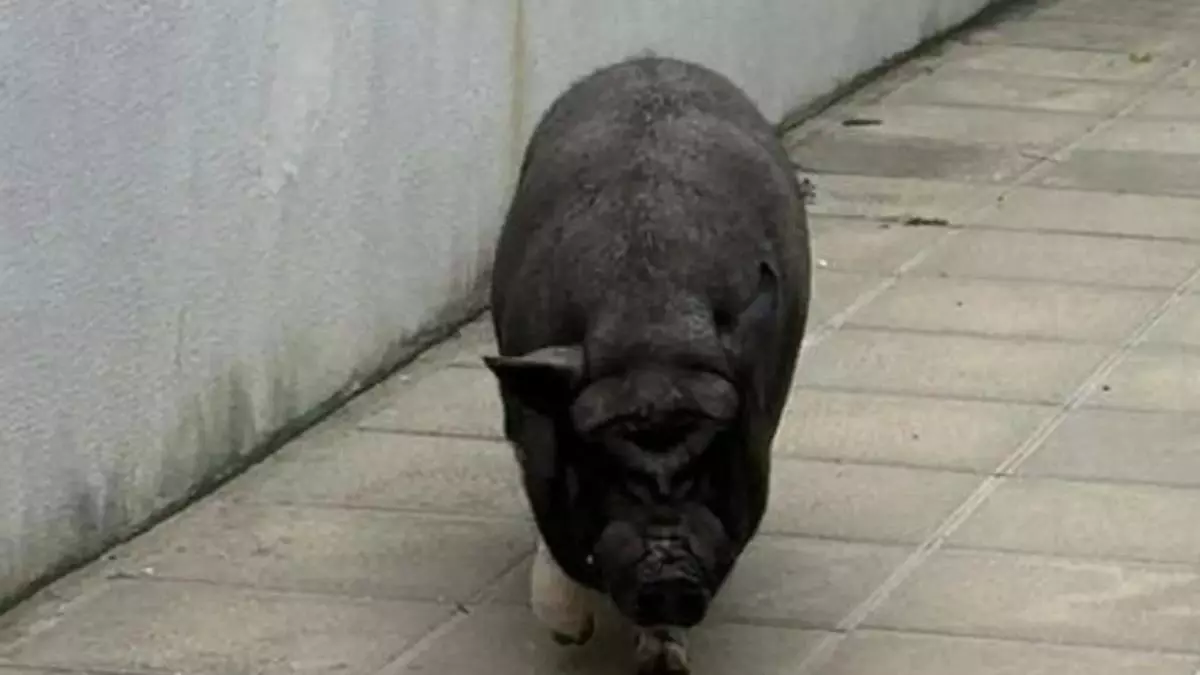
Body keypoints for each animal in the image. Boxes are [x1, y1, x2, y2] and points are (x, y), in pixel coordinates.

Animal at [483, 55, 811, 675]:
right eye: (603, 467)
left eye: (714, 463)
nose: (668, 577)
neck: (652, 344)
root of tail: (651, 58)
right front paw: (570, 635)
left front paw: (664, 664)